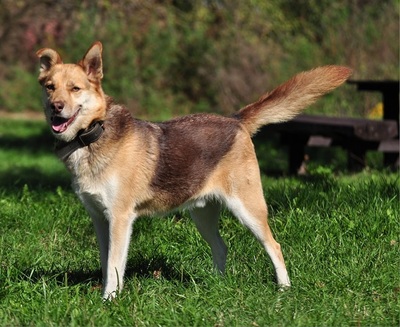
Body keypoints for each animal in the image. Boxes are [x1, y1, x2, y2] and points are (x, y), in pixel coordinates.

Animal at [36, 41, 350, 300]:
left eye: (75, 88)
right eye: (50, 87)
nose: (55, 108)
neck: (93, 136)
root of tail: (235, 120)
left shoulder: (120, 218)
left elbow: (115, 265)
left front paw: (109, 301)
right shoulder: (100, 219)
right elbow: (106, 264)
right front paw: (105, 293)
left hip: (249, 209)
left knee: (275, 245)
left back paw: (283, 288)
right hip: (202, 214)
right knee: (221, 247)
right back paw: (218, 286)